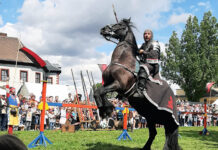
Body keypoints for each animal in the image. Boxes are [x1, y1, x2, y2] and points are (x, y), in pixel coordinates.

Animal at [94, 18, 181, 150]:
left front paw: (105, 110)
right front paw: (106, 109)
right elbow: (98, 92)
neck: (122, 60)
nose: (103, 29)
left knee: (168, 132)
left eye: (119, 24)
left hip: (166, 116)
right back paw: (145, 148)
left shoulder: (118, 85)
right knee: (155, 133)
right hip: (150, 116)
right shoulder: (109, 84)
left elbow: (99, 92)